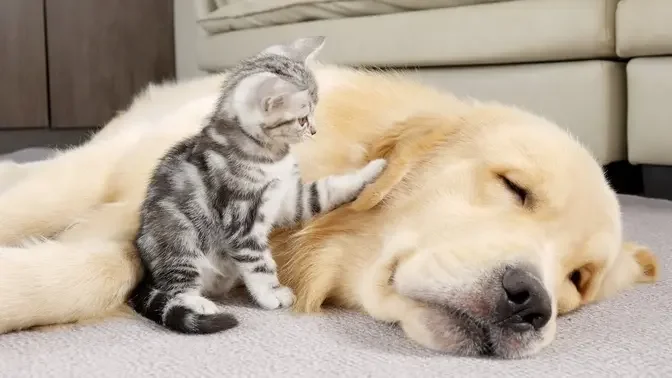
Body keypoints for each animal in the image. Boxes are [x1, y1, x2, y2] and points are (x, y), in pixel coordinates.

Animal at [128, 36, 386, 334]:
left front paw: (372, 170)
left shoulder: (290, 199)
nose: (314, 130)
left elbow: (326, 190)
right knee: (176, 284)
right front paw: (271, 294)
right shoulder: (242, 219)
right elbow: (259, 262)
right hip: (177, 234)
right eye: (302, 119)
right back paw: (197, 303)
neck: (269, 155)